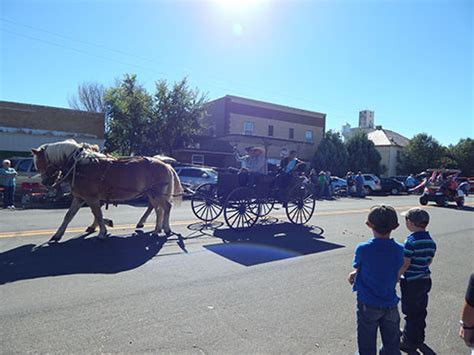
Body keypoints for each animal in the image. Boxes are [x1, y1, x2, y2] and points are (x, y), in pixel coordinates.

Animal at [32, 139, 183, 242]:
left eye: (39, 163)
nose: (45, 183)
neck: (79, 165)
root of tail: (166, 165)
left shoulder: (91, 198)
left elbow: (97, 214)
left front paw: (102, 231)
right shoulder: (80, 198)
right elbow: (69, 216)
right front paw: (57, 235)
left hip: (157, 193)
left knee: (166, 207)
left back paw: (164, 229)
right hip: (153, 193)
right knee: (158, 209)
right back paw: (156, 228)